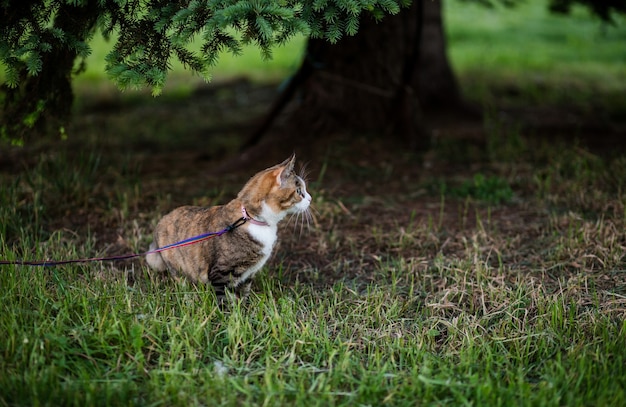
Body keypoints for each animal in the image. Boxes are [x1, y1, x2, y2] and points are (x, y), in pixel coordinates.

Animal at [146, 155, 312, 300]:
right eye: (299, 191)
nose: (310, 199)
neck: (251, 217)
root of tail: (161, 220)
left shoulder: (247, 274)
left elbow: (244, 293)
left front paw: (244, 310)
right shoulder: (220, 272)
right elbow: (223, 299)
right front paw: (227, 314)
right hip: (177, 266)